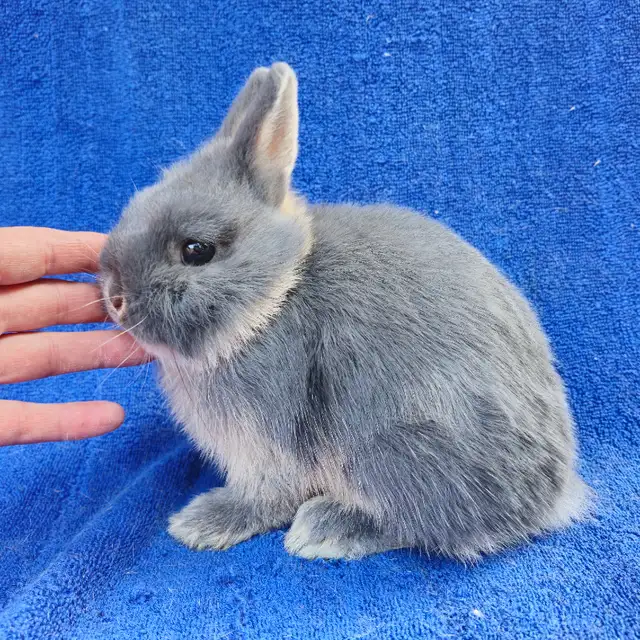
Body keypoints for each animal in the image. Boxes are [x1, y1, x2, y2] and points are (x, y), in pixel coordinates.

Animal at [100, 62, 590, 561]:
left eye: (196, 250)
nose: (115, 298)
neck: (274, 298)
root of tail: (551, 499)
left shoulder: (270, 442)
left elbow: (265, 496)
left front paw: (200, 523)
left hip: (387, 453)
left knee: (419, 525)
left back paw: (325, 528)